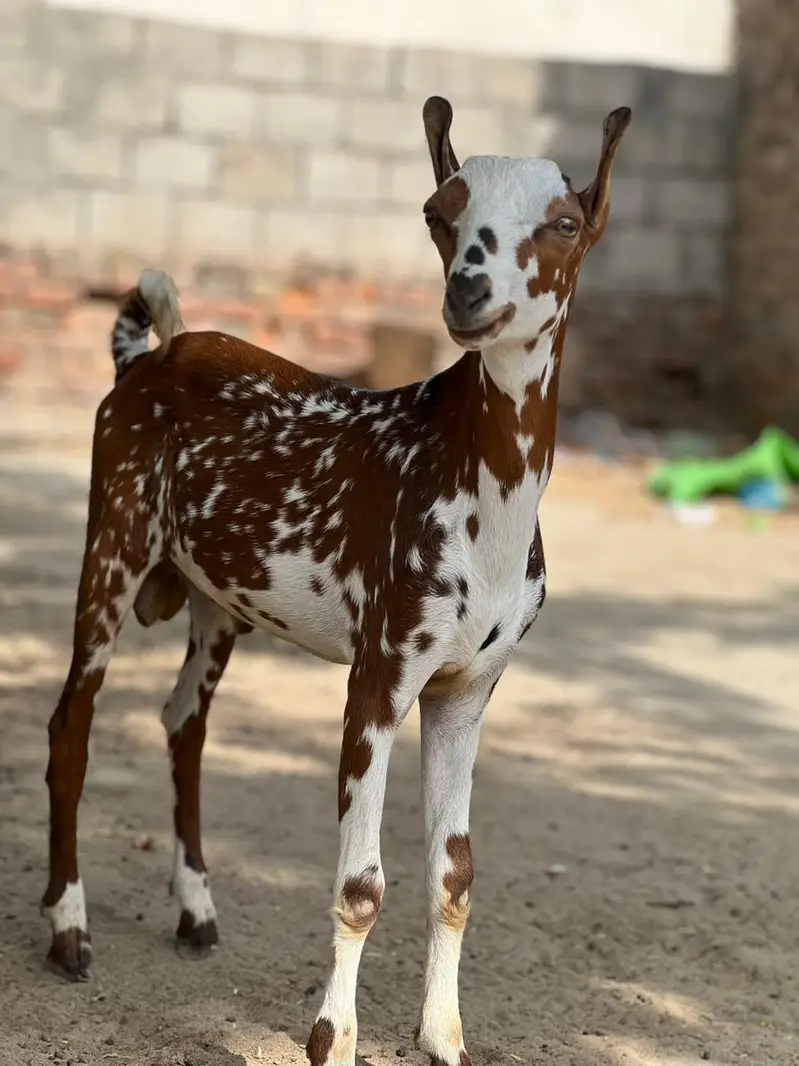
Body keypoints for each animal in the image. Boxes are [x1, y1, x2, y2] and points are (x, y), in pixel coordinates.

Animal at [42, 96, 630, 1066]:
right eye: (439, 215)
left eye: (564, 224)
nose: (468, 293)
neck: (474, 485)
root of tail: (147, 357)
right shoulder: (380, 678)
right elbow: (361, 883)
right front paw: (332, 1037)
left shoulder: (466, 690)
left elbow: (454, 874)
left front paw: (443, 1038)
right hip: (115, 547)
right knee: (71, 728)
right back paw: (67, 928)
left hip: (217, 601)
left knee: (183, 721)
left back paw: (195, 909)